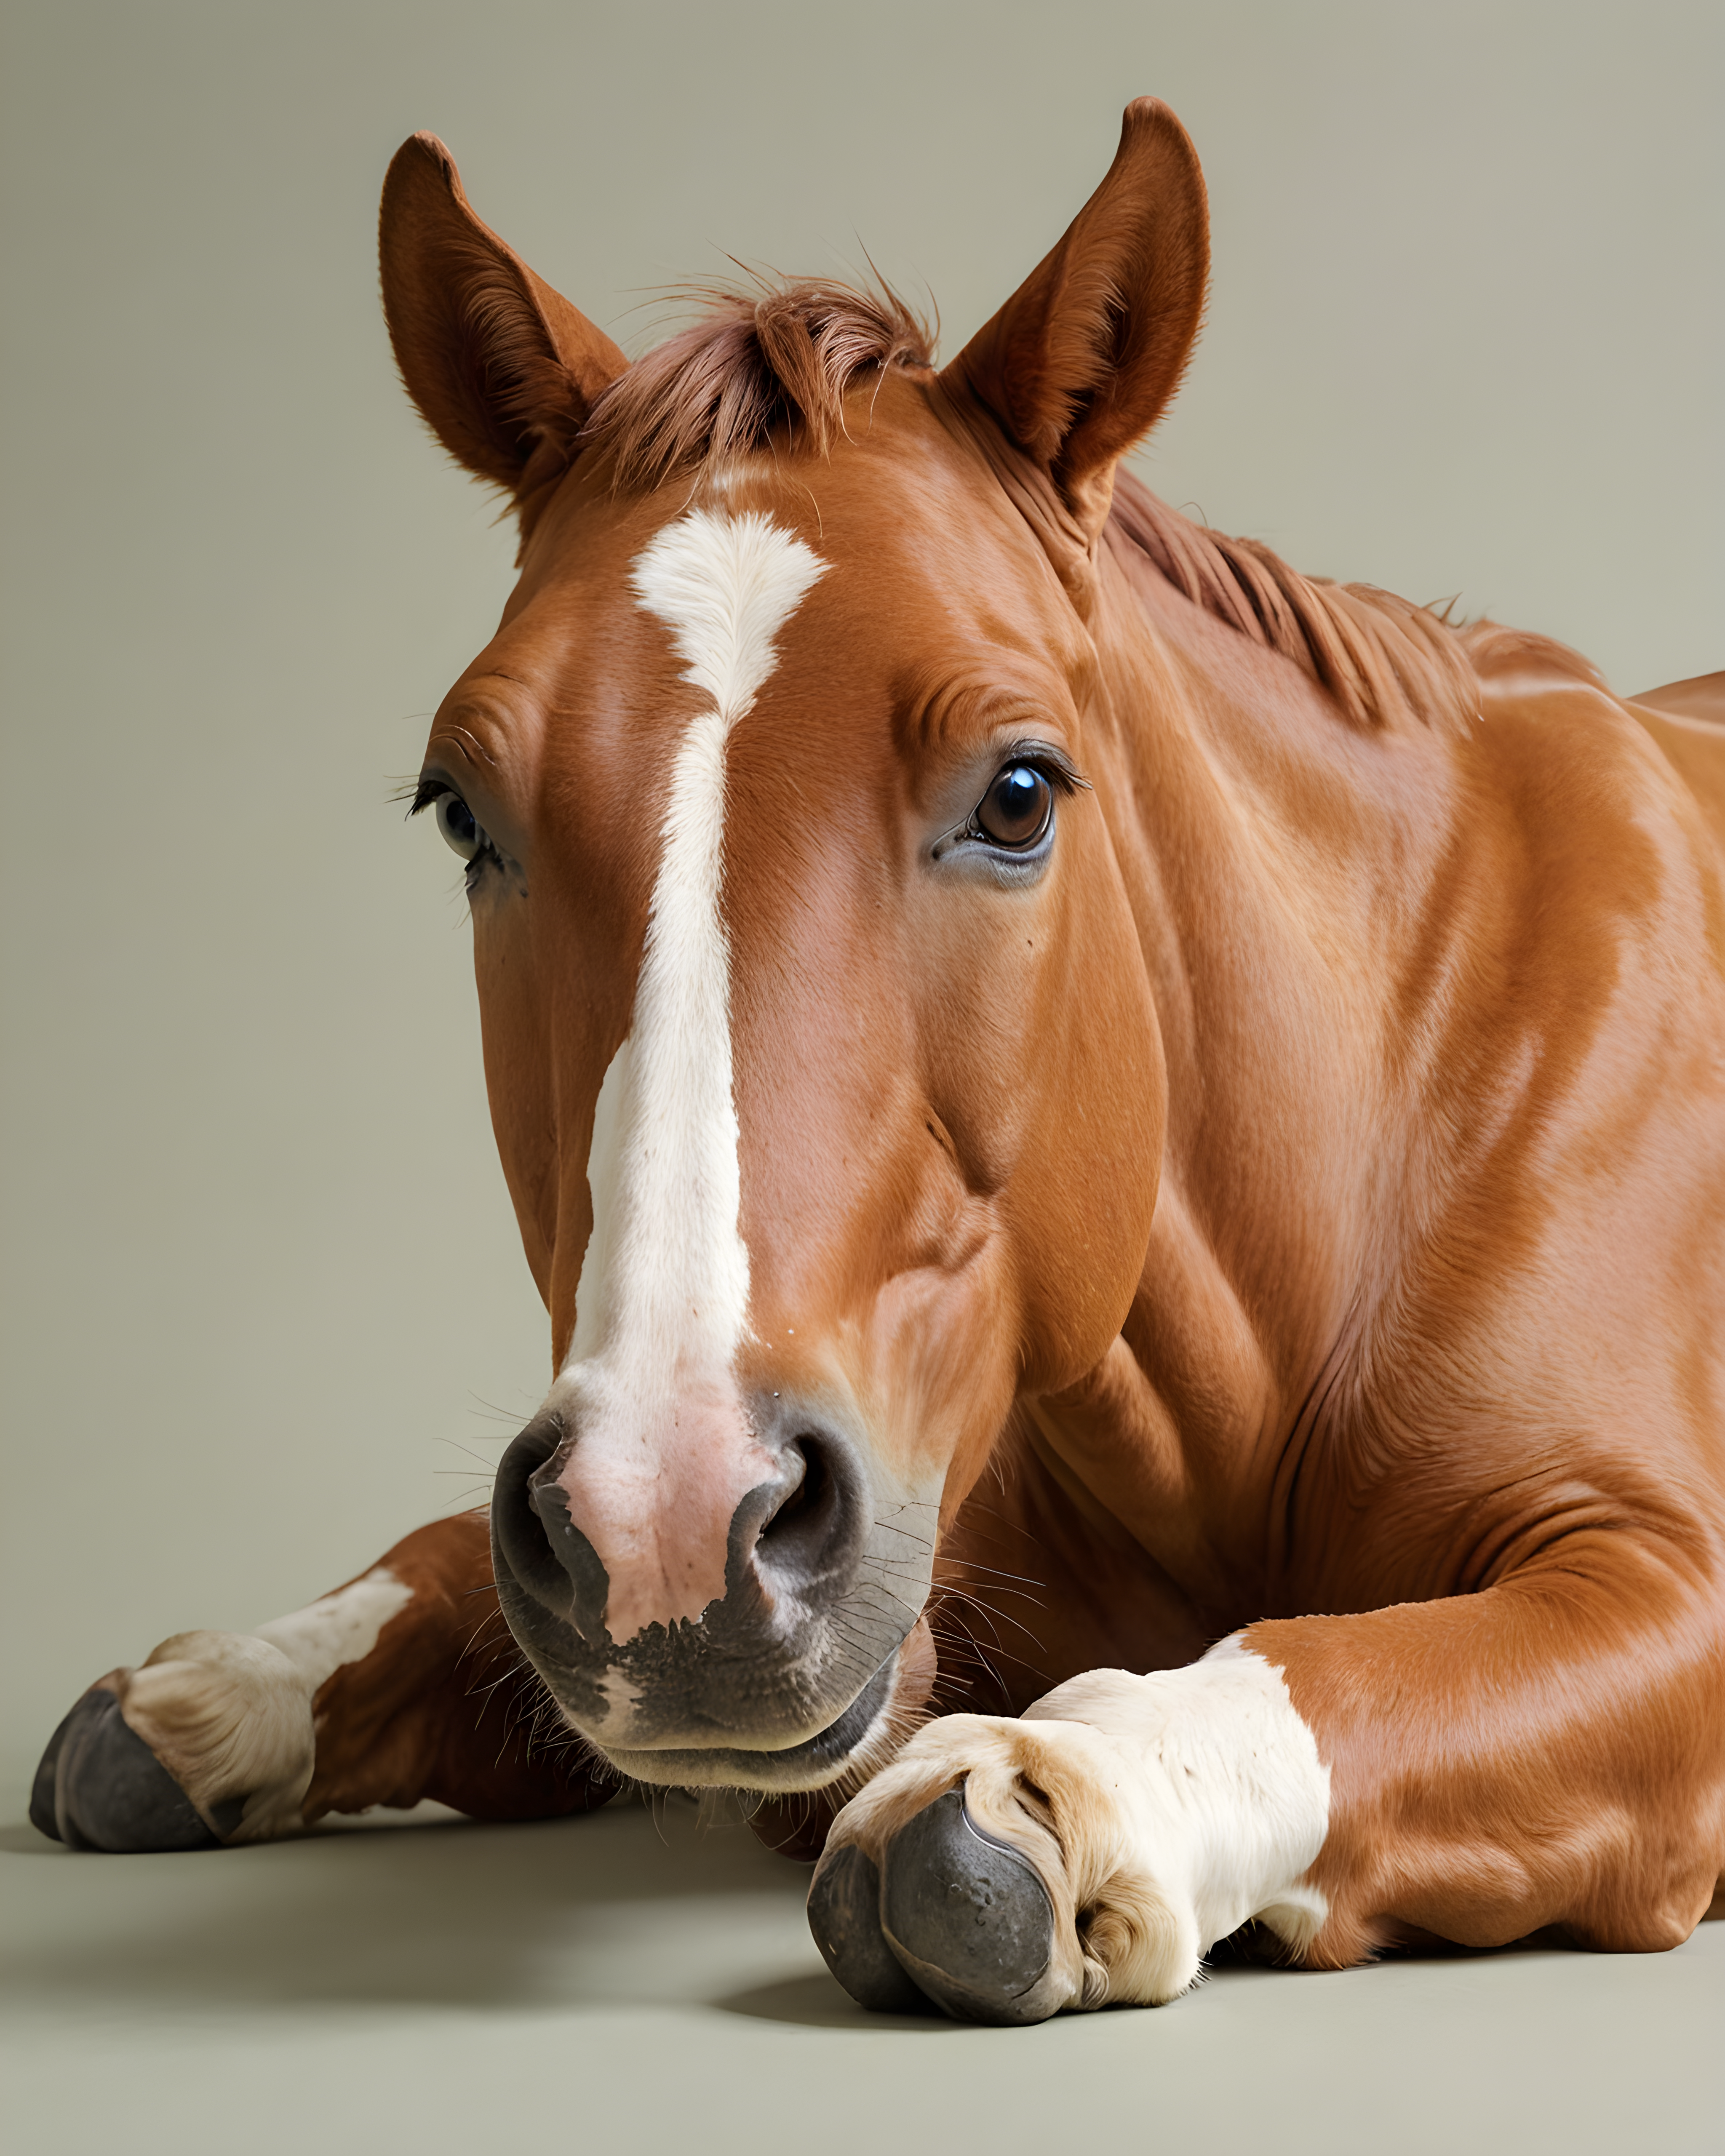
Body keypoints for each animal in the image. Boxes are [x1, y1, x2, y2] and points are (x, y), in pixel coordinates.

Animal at [32, 98, 1725, 2027]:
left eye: (1020, 793)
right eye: (466, 812)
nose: (667, 1520)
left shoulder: (1661, 1588)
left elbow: (1317, 1678)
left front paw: (1064, 1787)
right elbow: (451, 1580)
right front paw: (239, 1679)